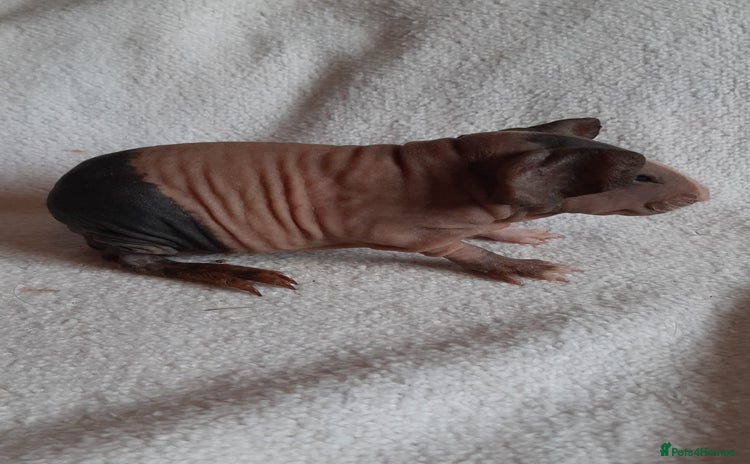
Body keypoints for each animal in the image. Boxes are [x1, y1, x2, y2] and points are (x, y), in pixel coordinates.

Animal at [46, 118, 709, 295]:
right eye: (640, 172)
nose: (703, 194)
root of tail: (58, 199)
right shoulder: (415, 232)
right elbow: (466, 253)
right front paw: (525, 264)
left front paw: (523, 239)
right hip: (138, 228)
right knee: (138, 263)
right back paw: (237, 272)